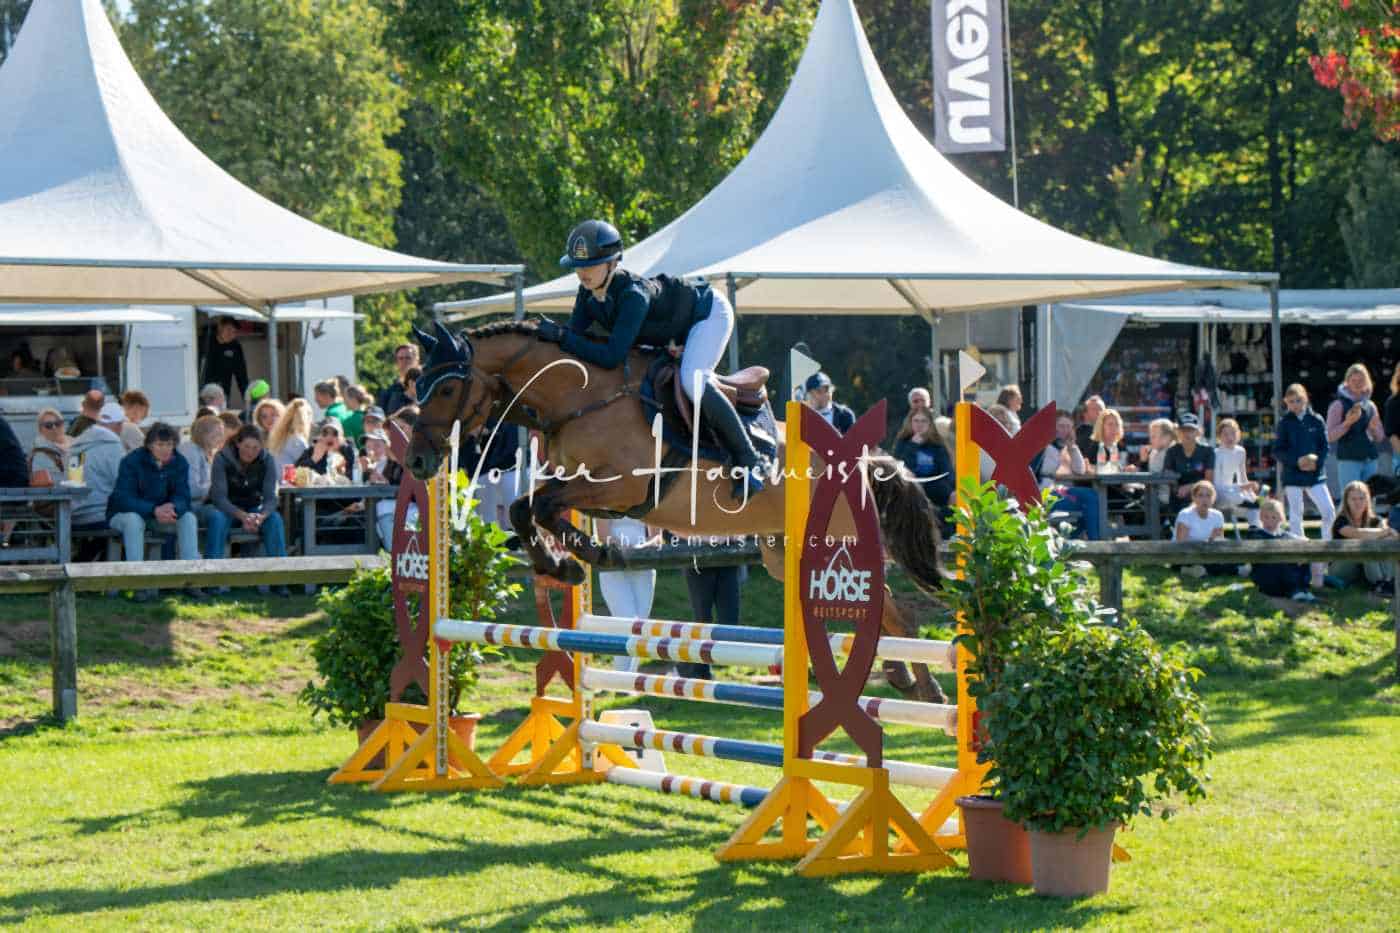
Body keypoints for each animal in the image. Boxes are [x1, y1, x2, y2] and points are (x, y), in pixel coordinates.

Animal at [405, 319, 949, 704]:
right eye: (417, 388)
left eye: (447, 389)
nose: (416, 462)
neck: (581, 396)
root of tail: (860, 460)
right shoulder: (580, 486)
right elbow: (526, 508)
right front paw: (571, 563)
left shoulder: (623, 486)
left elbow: (539, 506)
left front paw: (580, 559)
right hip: (784, 553)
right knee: (876, 608)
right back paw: (903, 675)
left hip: (835, 544)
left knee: (890, 610)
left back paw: (923, 684)